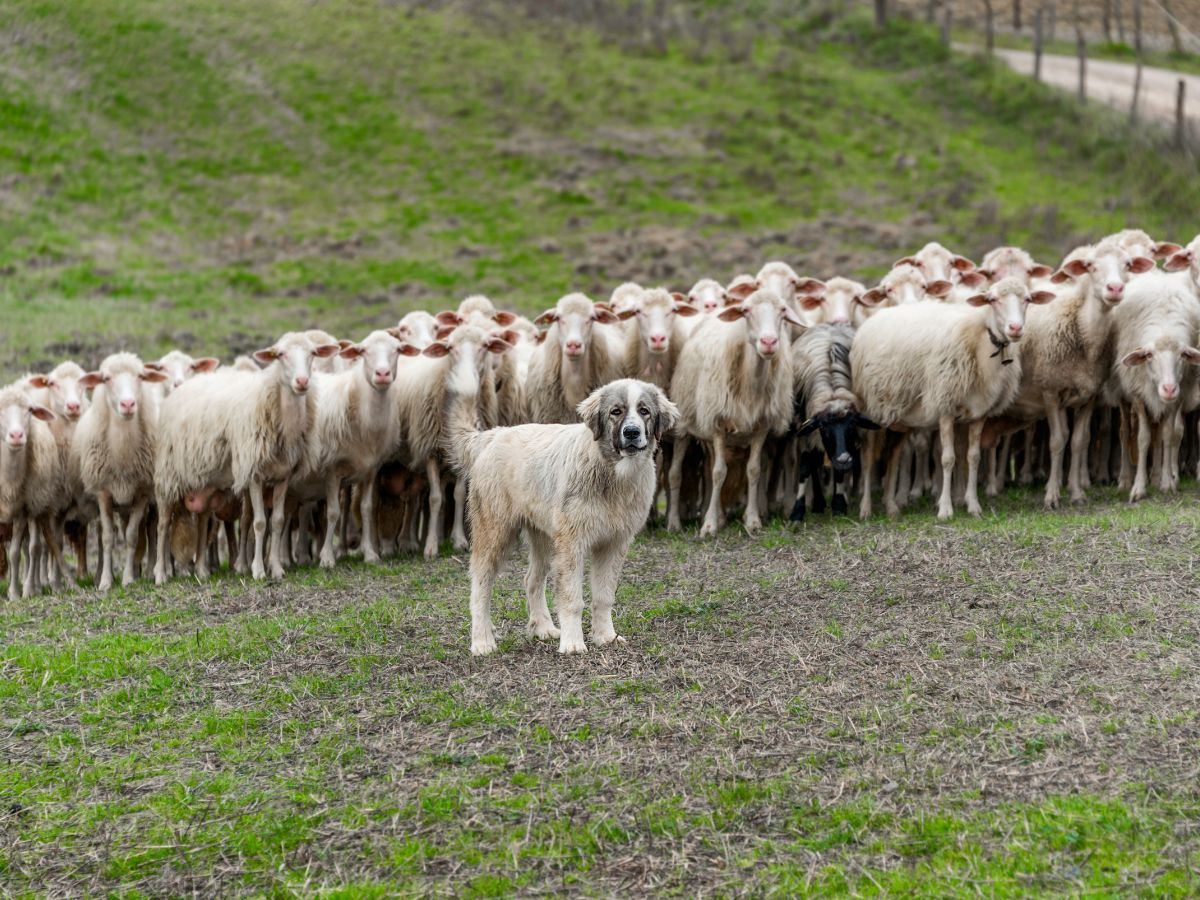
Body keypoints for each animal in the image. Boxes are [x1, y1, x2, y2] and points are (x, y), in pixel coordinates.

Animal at [448, 369, 681, 657]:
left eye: (644, 411)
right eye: (616, 412)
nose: (632, 432)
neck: (611, 474)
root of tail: (493, 435)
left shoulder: (614, 544)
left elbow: (604, 596)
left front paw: (606, 636)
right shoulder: (572, 543)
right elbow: (571, 598)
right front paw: (573, 643)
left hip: (545, 539)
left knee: (532, 580)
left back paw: (543, 628)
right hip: (495, 533)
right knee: (480, 586)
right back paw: (482, 641)